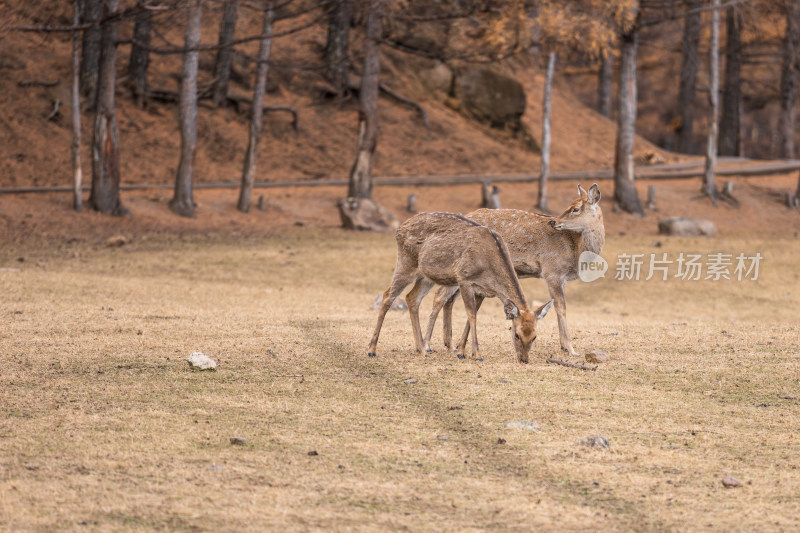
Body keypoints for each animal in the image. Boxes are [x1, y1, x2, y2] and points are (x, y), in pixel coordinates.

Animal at [368, 211, 552, 362]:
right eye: (516, 334)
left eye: (534, 336)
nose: (524, 360)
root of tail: (399, 229)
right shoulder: (464, 278)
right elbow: (471, 314)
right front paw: (476, 354)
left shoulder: (482, 290)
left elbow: (473, 316)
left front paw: (462, 350)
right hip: (406, 262)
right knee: (388, 295)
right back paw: (372, 349)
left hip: (426, 276)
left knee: (412, 298)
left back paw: (421, 349)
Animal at [422, 183, 604, 358]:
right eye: (571, 206)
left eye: (575, 208)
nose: (554, 222)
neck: (576, 250)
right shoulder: (552, 271)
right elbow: (561, 308)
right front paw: (571, 349)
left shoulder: (561, 277)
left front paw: (564, 347)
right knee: (439, 296)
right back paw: (428, 346)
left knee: (449, 300)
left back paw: (451, 346)